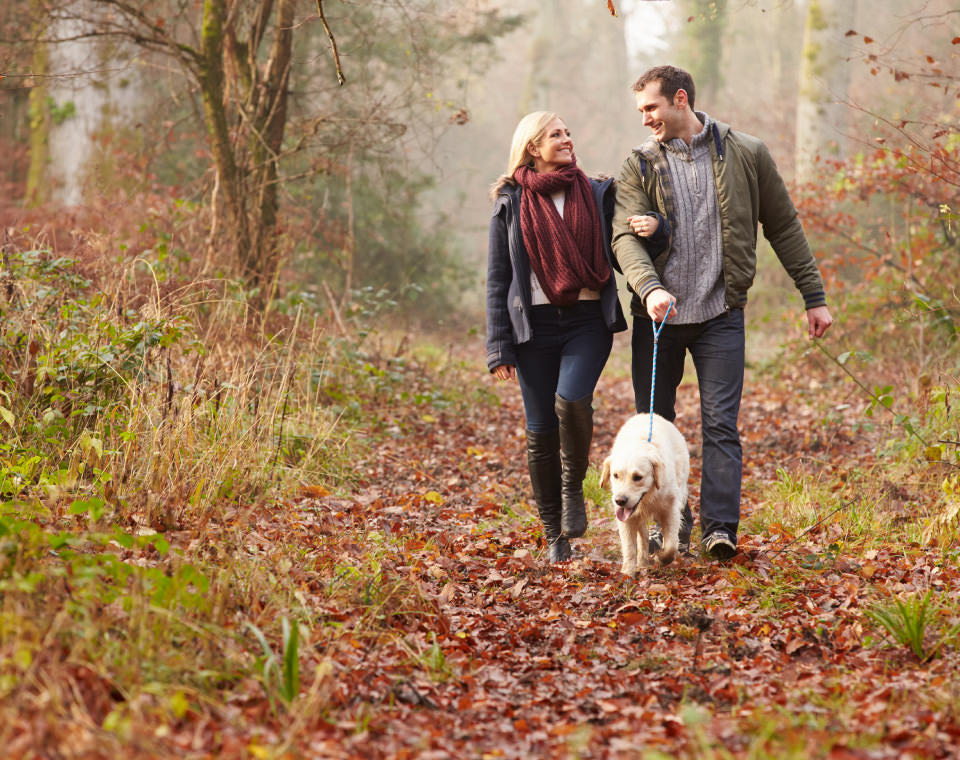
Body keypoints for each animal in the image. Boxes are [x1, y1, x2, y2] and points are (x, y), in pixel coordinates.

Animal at [600, 416, 688, 576]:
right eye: (615, 475)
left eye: (637, 477)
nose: (620, 501)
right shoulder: (626, 518)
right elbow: (629, 546)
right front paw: (628, 572)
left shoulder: (671, 509)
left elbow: (671, 546)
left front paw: (661, 558)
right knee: (644, 535)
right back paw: (642, 562)